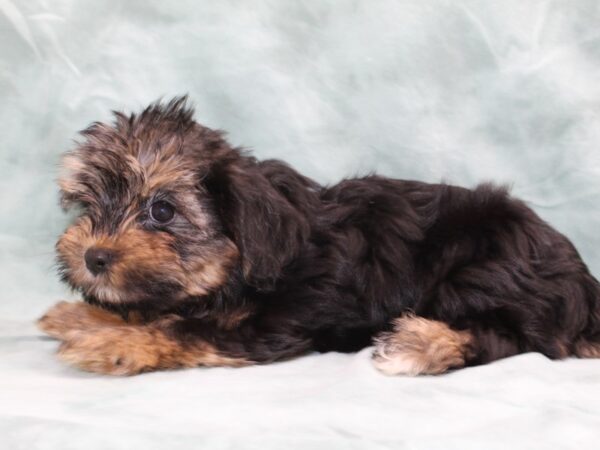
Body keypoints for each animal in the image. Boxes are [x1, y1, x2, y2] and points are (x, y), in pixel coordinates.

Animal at [36, 97, 600, 376]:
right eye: (88, 206)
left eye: (161, 209)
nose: (93, 257)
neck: (238, 269)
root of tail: (584, 285)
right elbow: (159, 311)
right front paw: (81, 317)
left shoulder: (272, 323)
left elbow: (181, 329)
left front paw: (110, 341)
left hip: (482, 270)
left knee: (511, 339)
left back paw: (418, 345)